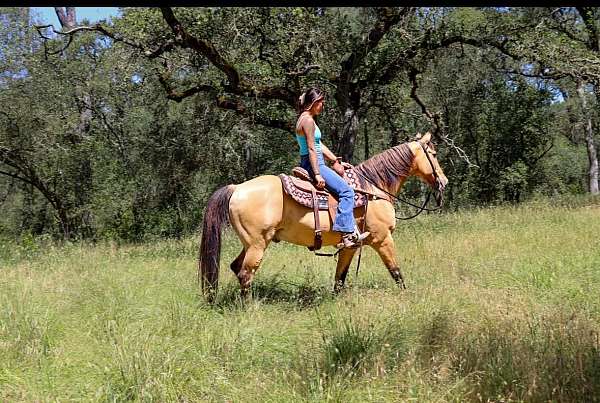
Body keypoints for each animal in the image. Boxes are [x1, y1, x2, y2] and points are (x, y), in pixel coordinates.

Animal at [199, 131, 448, 302]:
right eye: (434, 154)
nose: (444, 182)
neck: (373, 189)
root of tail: (236, 188)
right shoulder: (383, 239)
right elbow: (396, 272)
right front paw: (407, 296)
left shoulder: (351, 246)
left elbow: (340, 278)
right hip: (257, 244)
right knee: (245, 273)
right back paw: (249, 307)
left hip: (250, 243)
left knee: (235, 267)